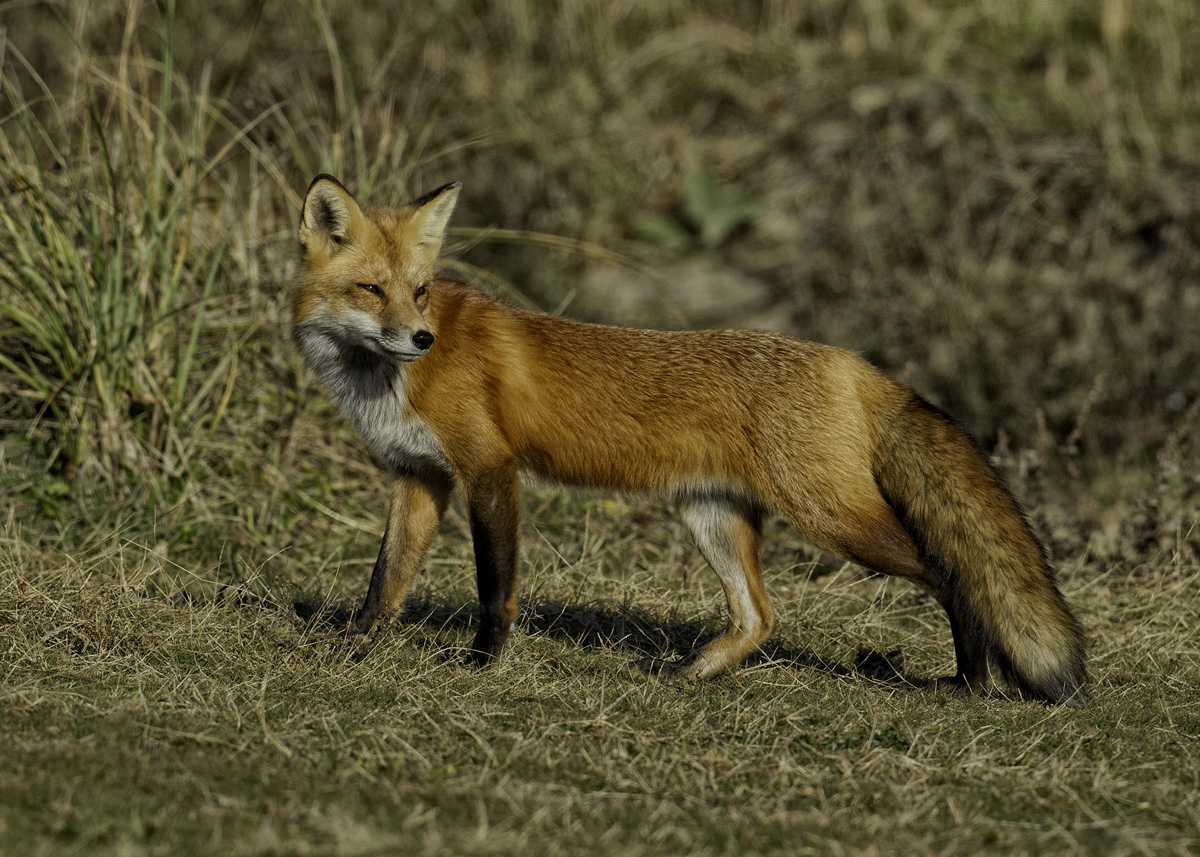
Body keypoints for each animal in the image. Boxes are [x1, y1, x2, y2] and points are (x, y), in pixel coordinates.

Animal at [292, 174, 1087, 705]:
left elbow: (495, 586)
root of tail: (847, 360)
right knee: (759, 616)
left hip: (834, 520)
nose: (421, 339)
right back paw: (689, 673)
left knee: (952, 576)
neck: (386, 381)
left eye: (421, 291)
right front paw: (354, 645)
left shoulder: (489, 469)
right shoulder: (419, 475)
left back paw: (970, 679)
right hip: (710, 515)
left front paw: (482, 663)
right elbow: (386, 579)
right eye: (371, 290)